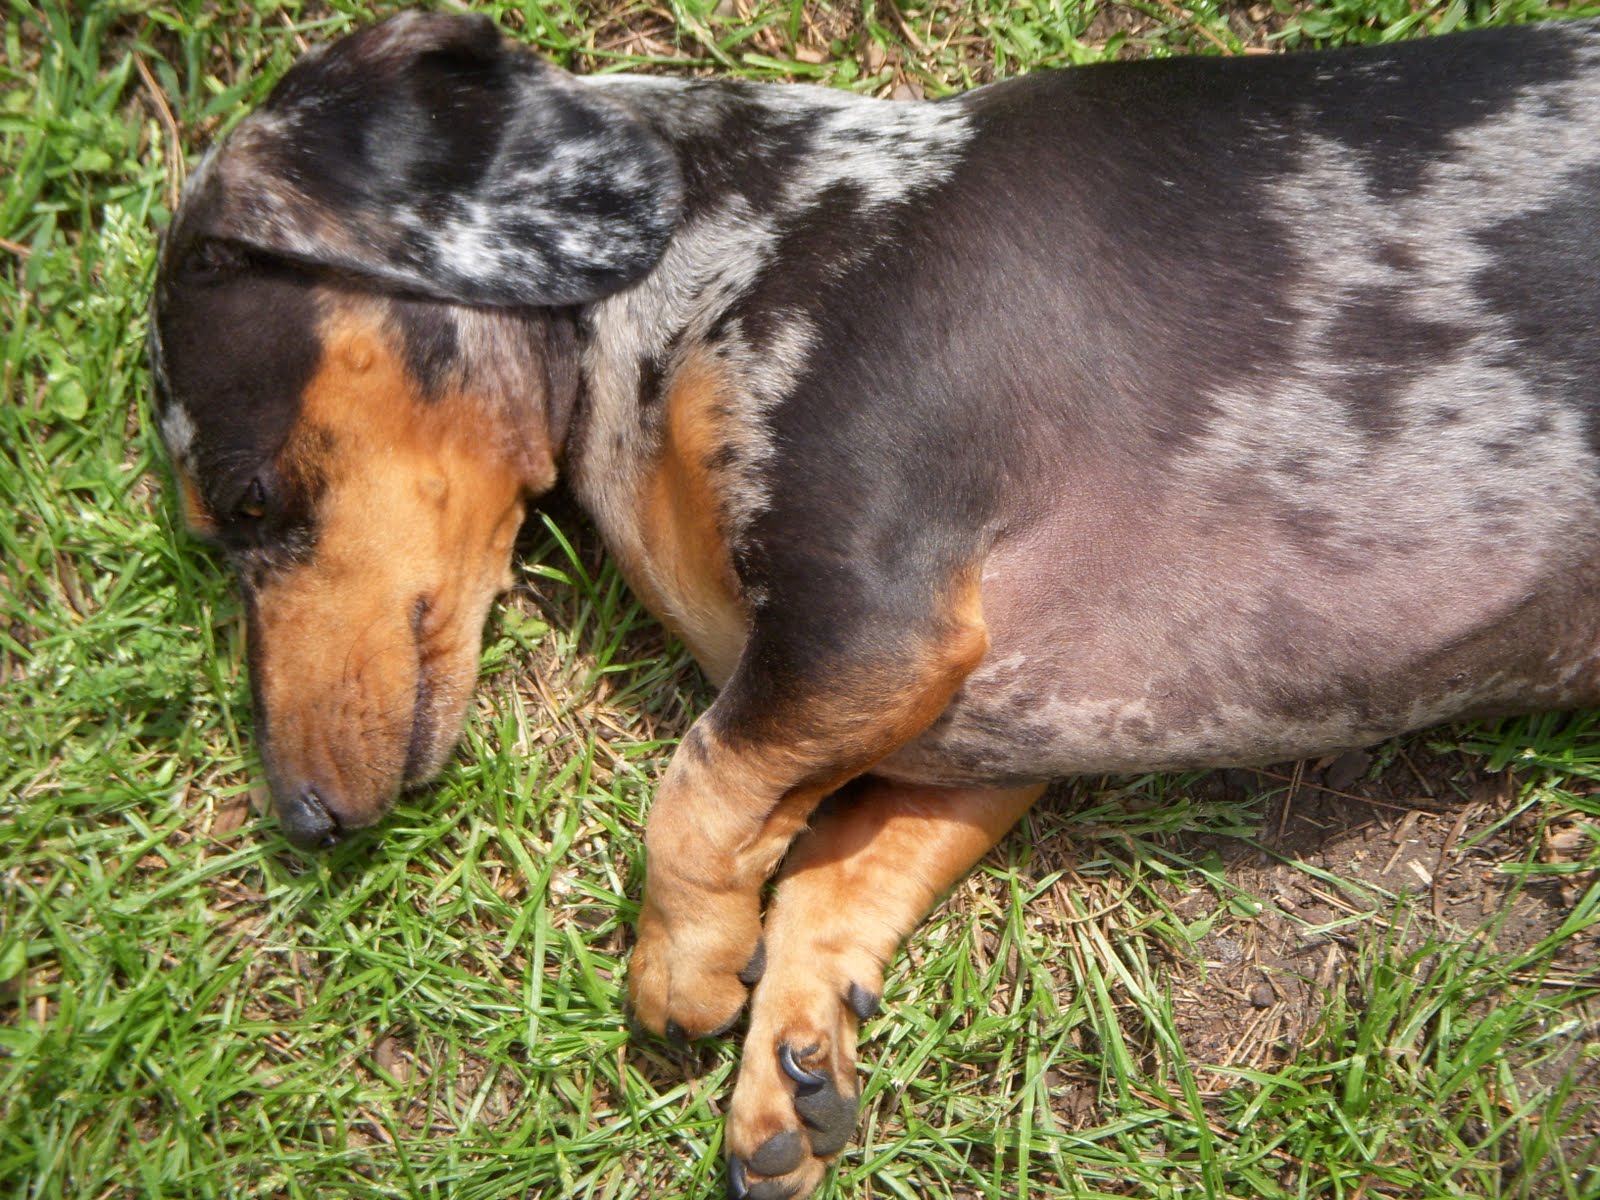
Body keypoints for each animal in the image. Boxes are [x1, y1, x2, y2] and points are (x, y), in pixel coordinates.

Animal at [148, 13, 1600, 1198]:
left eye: (249, 500)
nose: (301, 821)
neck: (702, 267)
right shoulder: (966, 736)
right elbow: (824, 874)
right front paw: (787, 1055)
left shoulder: (871, 619)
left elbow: (694, 793)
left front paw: (678, 967)